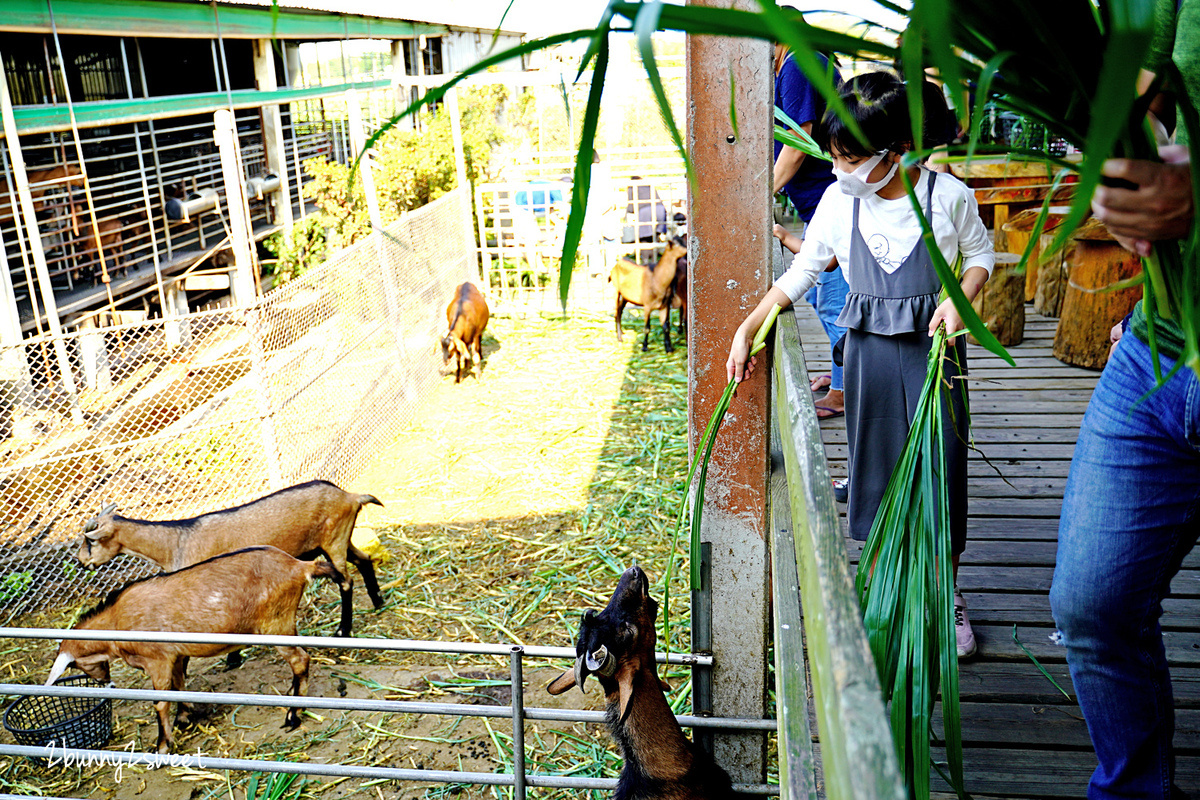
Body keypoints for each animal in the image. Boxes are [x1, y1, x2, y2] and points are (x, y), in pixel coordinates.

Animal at [46, 546, 338, 753]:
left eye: (75, 664)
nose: (106, 681)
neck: (116, 621)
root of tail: (300, 566)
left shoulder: (158, 659)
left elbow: (161, 701)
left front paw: (162, 746)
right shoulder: (175, 655)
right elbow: (179, 686)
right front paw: (185, 716)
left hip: (274, 625)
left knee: (300, 659)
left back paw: (293, 716)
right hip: (286, 623)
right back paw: (292, 696)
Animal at [75, 479, 381, 642]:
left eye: (91, 541)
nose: (81, 562)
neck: (175, 542)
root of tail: (350, 496)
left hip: (333, 542)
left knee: (346, 581)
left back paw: (343, 630)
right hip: (338, 538)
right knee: (364, 559)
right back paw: (378, 602)